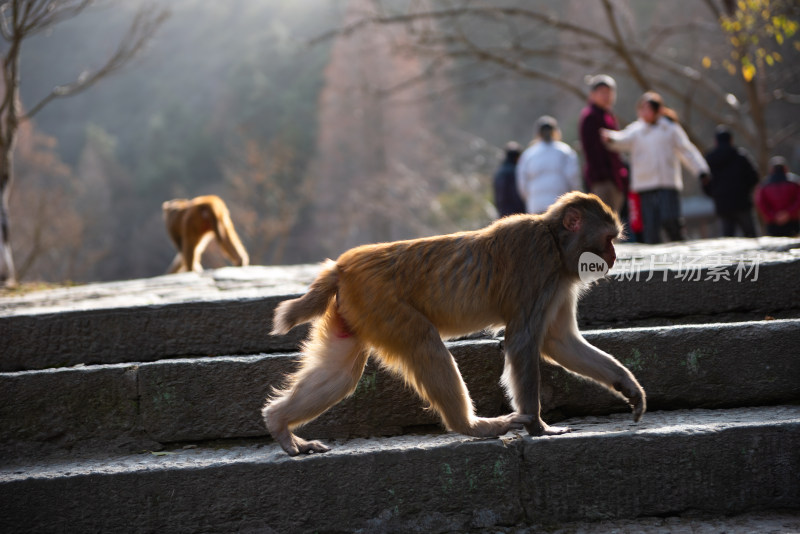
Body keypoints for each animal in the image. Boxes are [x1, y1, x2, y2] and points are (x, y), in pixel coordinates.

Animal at [266, 192, 648, 456]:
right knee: (424, 344)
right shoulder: (537, 265)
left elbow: (559, 342)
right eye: (608, 239)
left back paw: (279, 423)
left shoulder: (559, 282)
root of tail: (341, 266)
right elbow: (523, 342)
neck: (554, 241)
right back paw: (473, 426)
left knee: (340, 373)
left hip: (356, 310)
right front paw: (539, 427)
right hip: (381, 302)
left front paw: (628, 386)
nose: (614, 258)